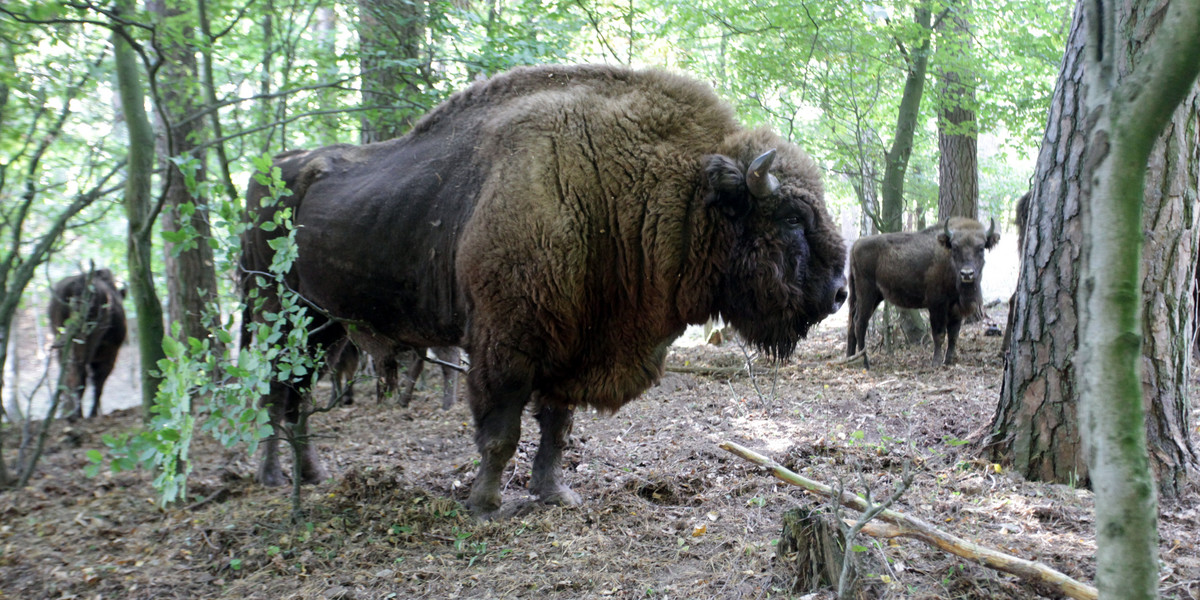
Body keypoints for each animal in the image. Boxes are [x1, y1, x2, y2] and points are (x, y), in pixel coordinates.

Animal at [48, 270, 126, 420]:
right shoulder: (110, 355)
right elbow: (98, 383)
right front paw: (93, 413)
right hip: (86, 343)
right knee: (80, 373)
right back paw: (76, 414)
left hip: (63, 341)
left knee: (68, 373)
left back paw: (68, 413)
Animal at [238, 64, 849, 511]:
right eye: (792, 217)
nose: (841, 291)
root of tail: (272, 170)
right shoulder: (505, 345)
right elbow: (501, 430)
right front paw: (485, 504)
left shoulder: (572, 346)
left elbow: (556, 428)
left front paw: (555, 494)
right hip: (277, 313)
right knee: (275, 392)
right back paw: (273, 477)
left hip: (321, 324)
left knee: (294, 396)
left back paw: (310, 473)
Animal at [844, 216, 1003, 364]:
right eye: (955, 247)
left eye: (981, 248)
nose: (967, 274)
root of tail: (856, 245)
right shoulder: (937, 305)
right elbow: (939, 334)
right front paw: (936, 362)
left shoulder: (955, 308)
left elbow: (953, 335)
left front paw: (949, 360)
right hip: (867, 294)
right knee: (859, 323)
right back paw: (865, 362)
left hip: (872, 296)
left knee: (852, 323)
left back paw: (850, 358)